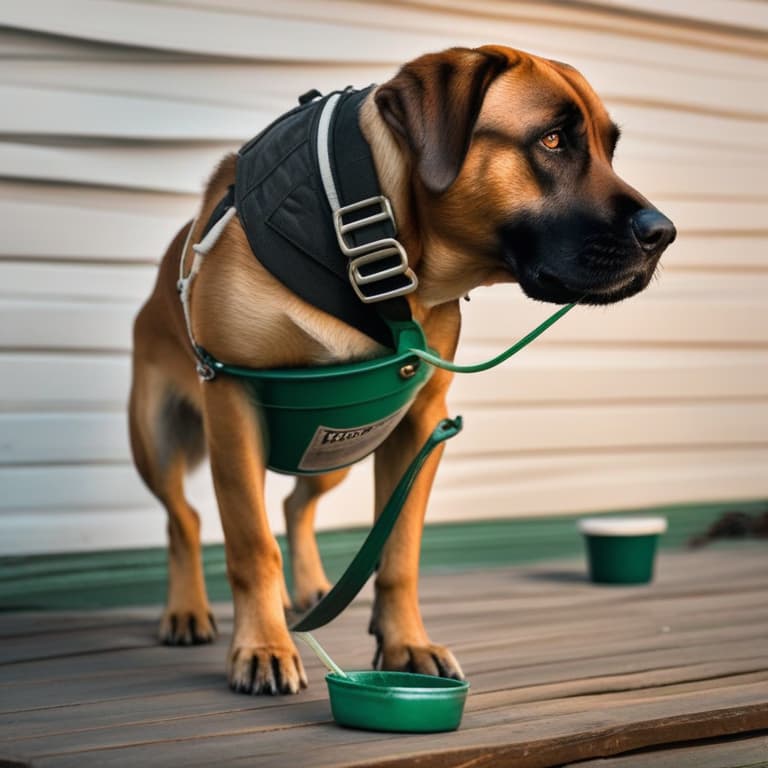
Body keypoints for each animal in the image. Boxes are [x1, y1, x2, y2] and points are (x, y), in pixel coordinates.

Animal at [129, 46, 676, 696]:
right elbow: (251, 545)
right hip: (161, 438)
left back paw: (308, 589)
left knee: (295, 504)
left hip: (335, 449)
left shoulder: (418, 425)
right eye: (551, 140)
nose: (663, 233)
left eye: (608, 148)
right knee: (184, 519)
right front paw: (262, 646)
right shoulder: (235, 404)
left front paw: (405, 643)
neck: (376, 245)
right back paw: (187, 609)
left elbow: (397, 552)